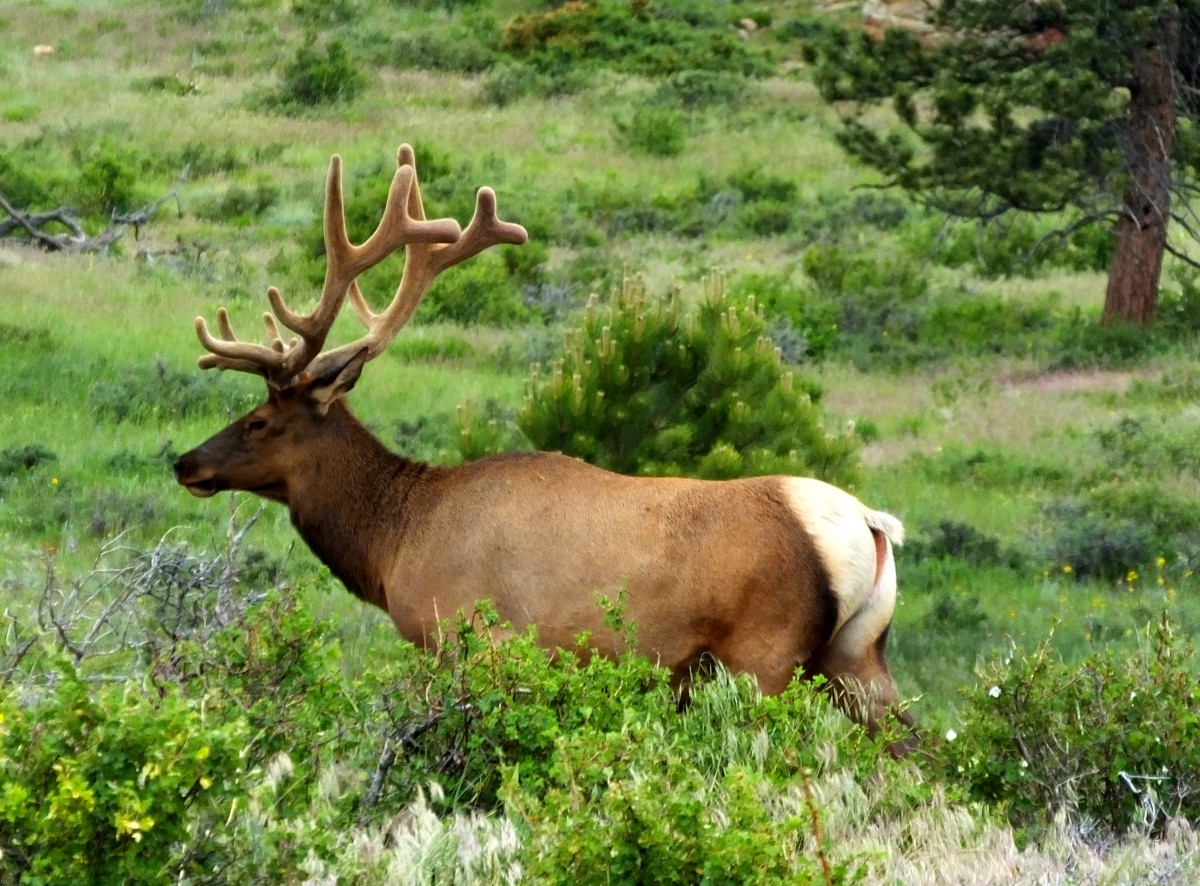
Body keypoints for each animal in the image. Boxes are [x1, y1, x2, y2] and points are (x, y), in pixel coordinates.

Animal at [171, 145, 916, 753]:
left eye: (259, 419)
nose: (185, 462)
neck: (396, 540)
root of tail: (869, 523)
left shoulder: (464, 636)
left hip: (766, 654)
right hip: (856, 656)